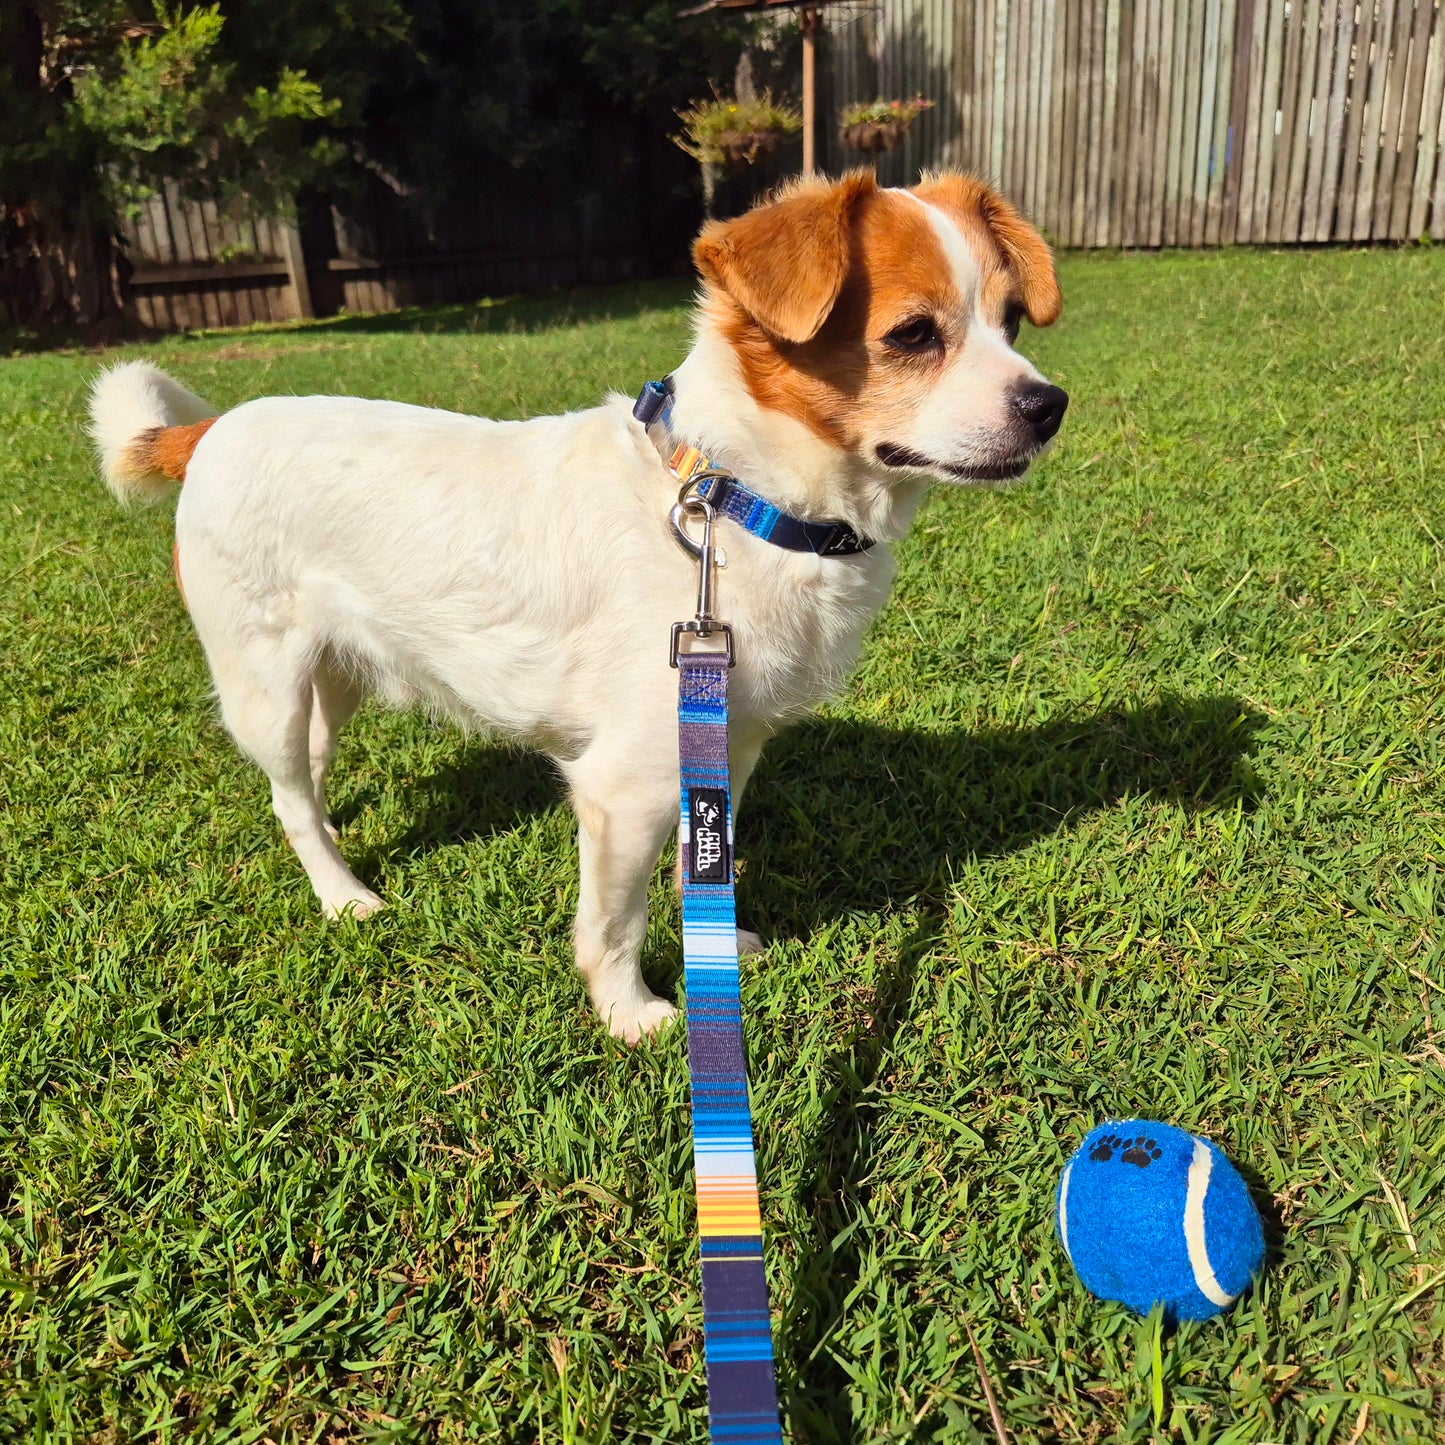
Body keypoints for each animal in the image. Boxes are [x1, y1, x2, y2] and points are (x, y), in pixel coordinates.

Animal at [87, 174, 1063, 1046]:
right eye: (911, 333)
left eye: (1012, 320)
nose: (1049, 403)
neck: (737, 503)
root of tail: (208, 430)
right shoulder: (623, 783)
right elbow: (614, 922)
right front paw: (629, 1011)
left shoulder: (721, 744)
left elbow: (699, 861)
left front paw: (719, 940)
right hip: (266, 684)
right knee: (286, 796)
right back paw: (343, 894)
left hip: (338, 673)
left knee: (312, 774)